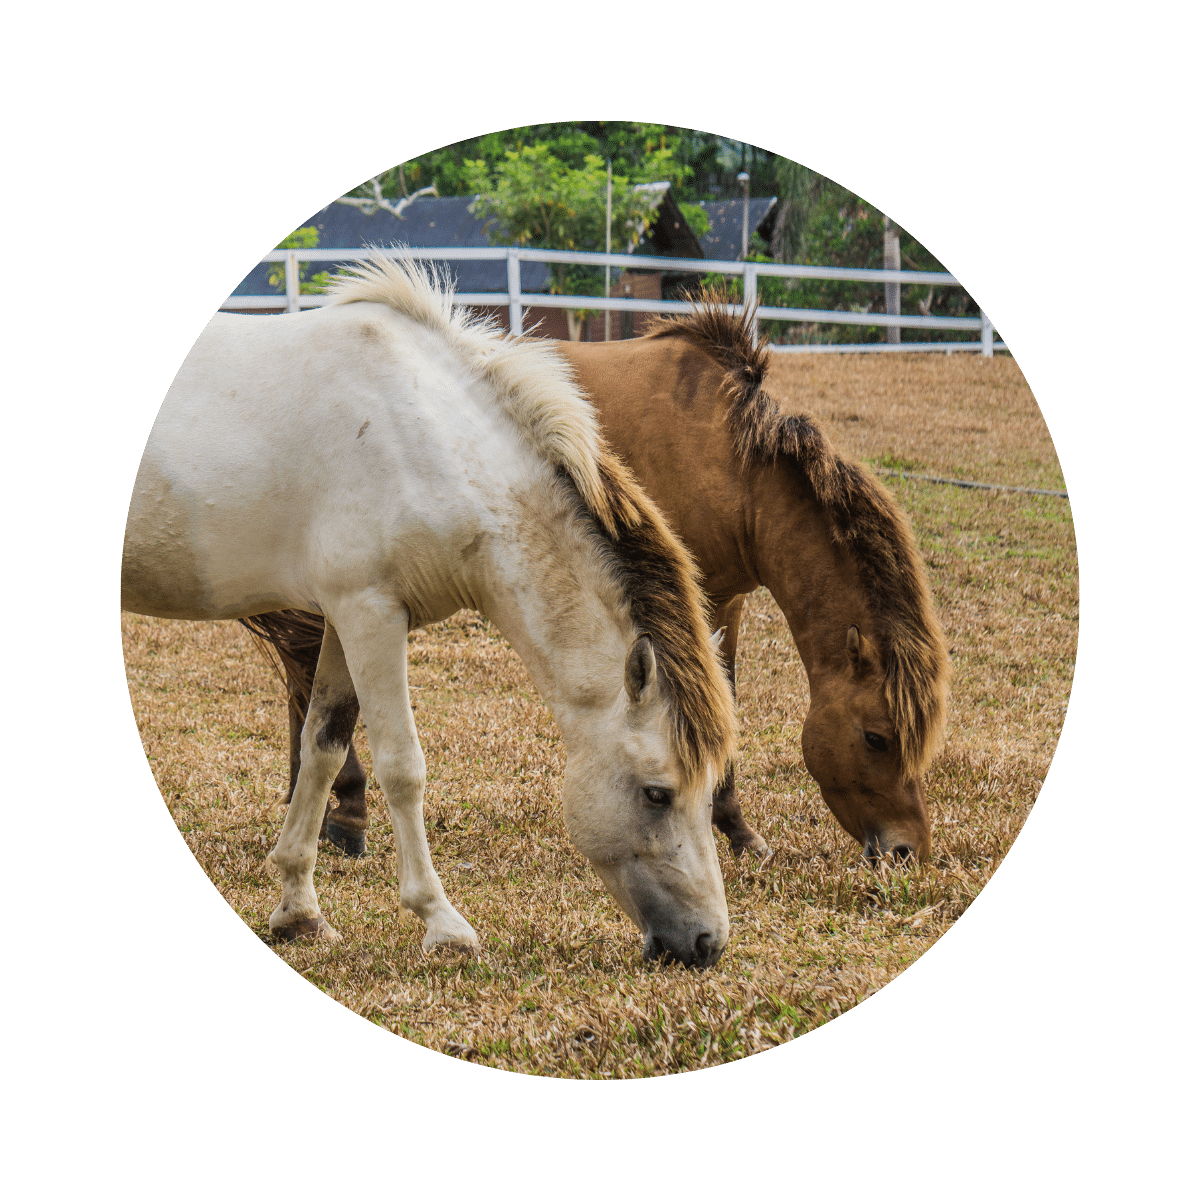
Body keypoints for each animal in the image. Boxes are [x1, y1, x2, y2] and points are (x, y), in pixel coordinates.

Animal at [122, 258, 738, 967]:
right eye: (656, 793)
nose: (706, 943)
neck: (424, 440)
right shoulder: (371, 615)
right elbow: (402, 765)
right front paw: (441, 921)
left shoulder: (345, 621)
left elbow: (323, 747)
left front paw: (300, 911)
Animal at [244, 298, 949, 866]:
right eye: (876, 736)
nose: (907, 851)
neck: (728, 464)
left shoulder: (725, 599)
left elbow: (723, 693)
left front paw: (734, 828)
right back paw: (342, 813)